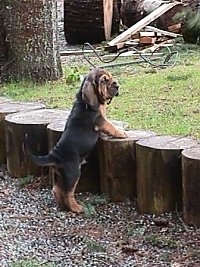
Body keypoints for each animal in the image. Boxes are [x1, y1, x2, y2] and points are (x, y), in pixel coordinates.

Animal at [23, 68, 126, 214]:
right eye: (104, 81)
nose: (117, 85)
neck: (85, 101)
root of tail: (54, 156)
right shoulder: (100, 121)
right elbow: (110, 126)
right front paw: (121, 132)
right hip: (73, 174)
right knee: (68, 193)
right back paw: (76, 208)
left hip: (60, 176)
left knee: (57, 190)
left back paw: (62, 206)